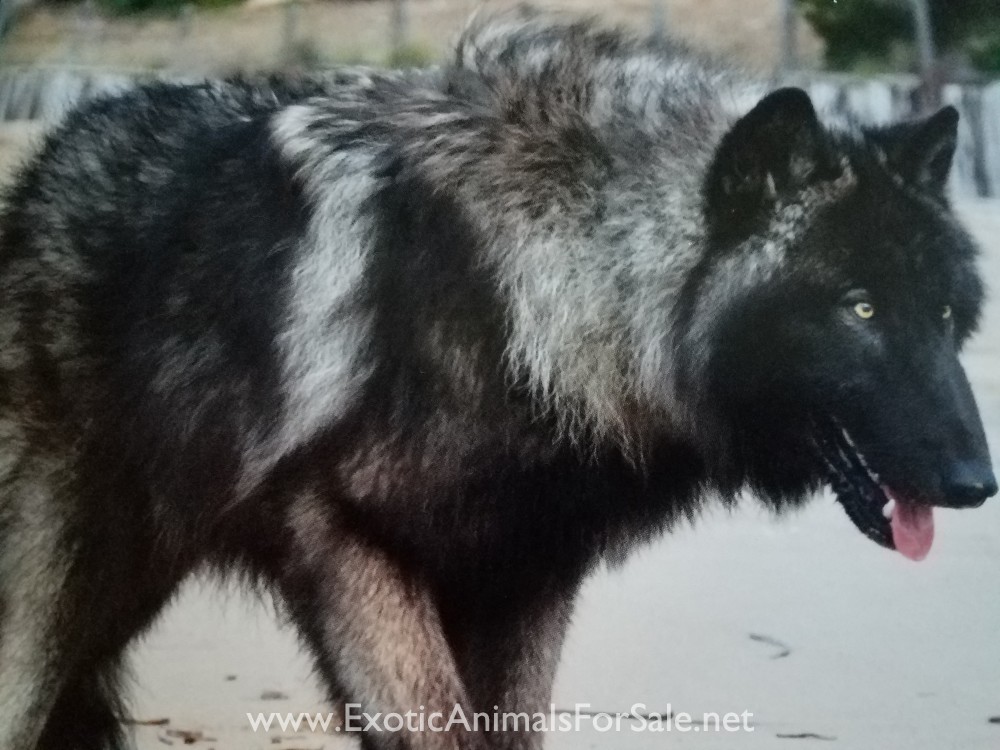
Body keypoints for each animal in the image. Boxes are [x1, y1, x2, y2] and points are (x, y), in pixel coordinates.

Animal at [0, 10, 994, 750]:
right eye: (861, 309)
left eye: (946, 316)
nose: (978, 485)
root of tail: (51, 154)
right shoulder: (355, 550)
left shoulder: (523, 578)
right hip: (50, 607)